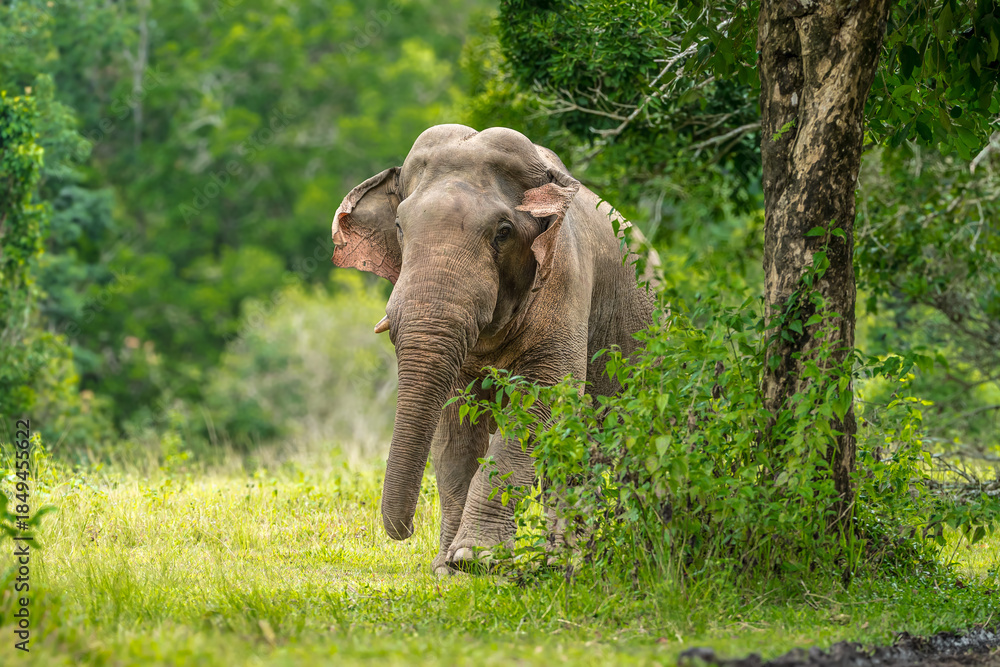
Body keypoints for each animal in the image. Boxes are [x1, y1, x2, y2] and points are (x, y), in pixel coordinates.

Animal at [330, 124, 653, 574]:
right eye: (398, 226)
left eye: (503, 232)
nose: (404, 532)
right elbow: (455, 426)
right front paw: (449, 569)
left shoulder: (566, 276)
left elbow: (543, 396)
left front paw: (474, 557)